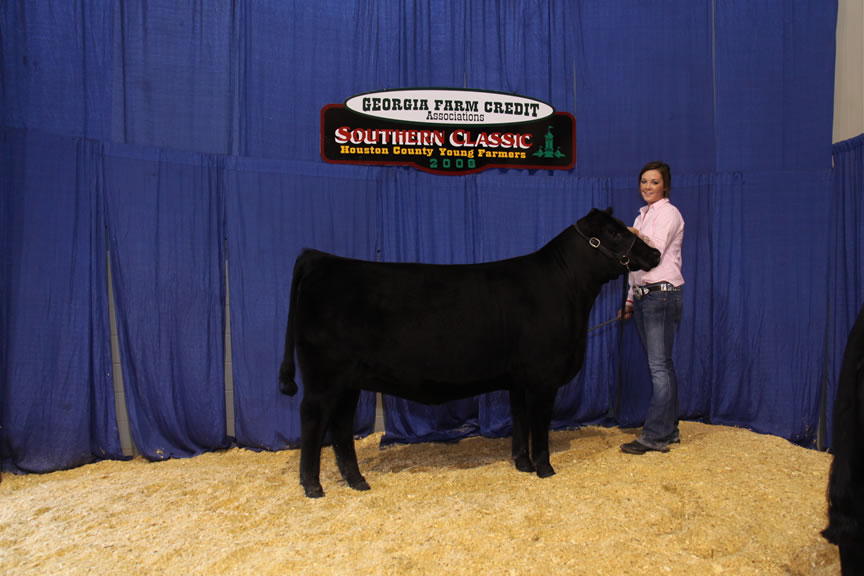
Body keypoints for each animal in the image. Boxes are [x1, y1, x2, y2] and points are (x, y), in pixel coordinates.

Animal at [279, 208, 661, 498]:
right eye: (613, 233)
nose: (655, 254)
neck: (567, 291)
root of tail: (320, 259)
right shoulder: (543, 377)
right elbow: (539, 425)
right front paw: (545, 468)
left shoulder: (520, 379)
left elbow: (520, 421)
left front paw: (522, 464)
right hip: (323, 377)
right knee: (312, 417)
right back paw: (312, 486)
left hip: (348, 380)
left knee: (341, 424)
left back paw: (356, 481)